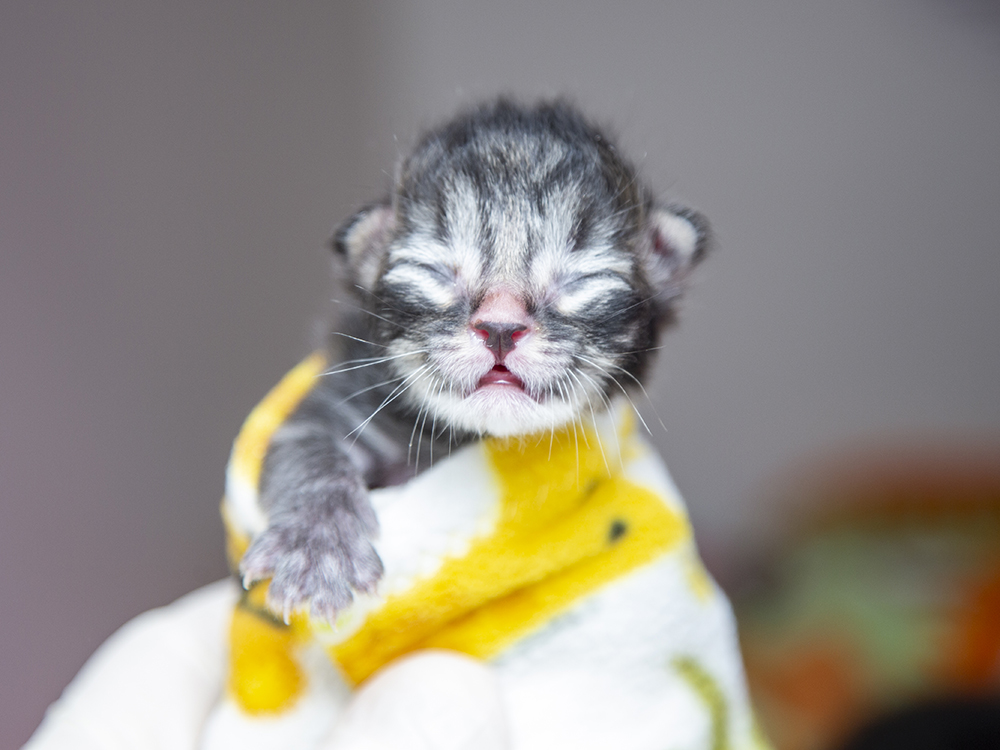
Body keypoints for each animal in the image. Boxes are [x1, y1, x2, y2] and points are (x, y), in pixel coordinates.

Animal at [238, 100, 708, 624]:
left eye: (580, 279)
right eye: (436, 270)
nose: (500, 328)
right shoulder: (336, 401)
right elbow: (309, 450)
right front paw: (315, 549)